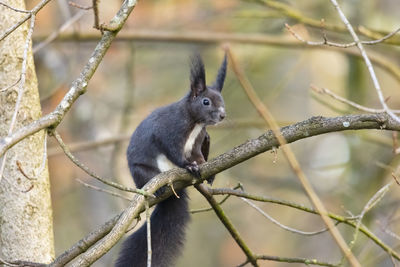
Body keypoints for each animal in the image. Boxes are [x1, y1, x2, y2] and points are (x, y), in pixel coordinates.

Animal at [115, 52, 228, 267]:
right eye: (206, 102)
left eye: (222, 100)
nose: (222, 115)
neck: (195, 123)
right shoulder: (168, 132)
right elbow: (172, 150)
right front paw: (188, 166)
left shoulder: (198, 142)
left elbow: (199, 156)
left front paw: (205, 170)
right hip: (144, 173)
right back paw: (159, 188)